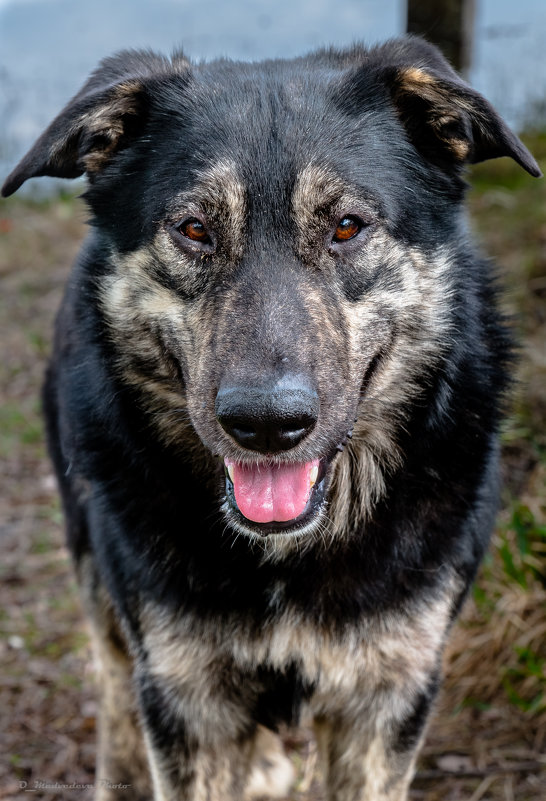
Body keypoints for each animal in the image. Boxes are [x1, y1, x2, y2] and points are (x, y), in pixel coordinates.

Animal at [3, 36, 540, 800]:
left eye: (347, 226)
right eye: (194, 229)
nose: (265, 425)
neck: (288, 555)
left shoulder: (388, 697)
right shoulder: (185, 697)